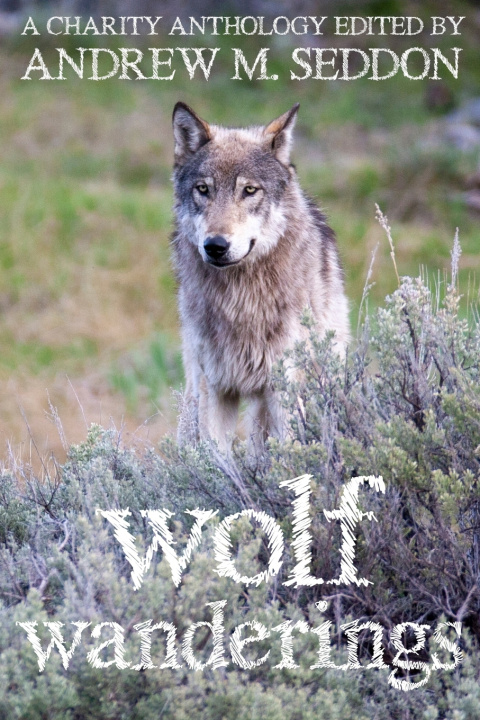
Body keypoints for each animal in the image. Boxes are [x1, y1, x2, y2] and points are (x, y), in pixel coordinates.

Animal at [171, 101, 350, 452]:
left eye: (249, 190)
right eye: (203, 189)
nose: (215, 246)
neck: (241, 302)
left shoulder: (281, 386)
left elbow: (289, 453)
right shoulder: (215, 387)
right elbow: (215, 456)